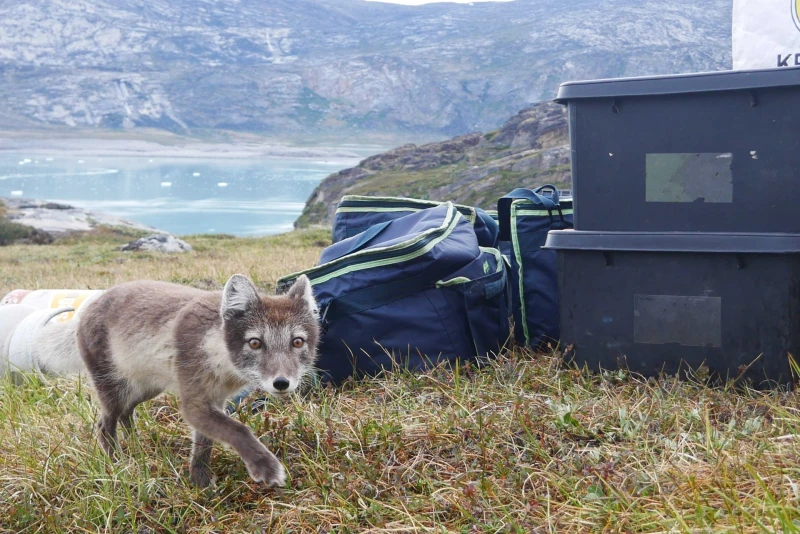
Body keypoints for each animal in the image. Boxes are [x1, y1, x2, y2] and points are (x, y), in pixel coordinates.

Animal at [75, 276, 318, 490]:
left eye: (297, 342)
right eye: (255, 343)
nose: (282, 383)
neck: (219, 353)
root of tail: (90, 305)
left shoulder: (216, 399)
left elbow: (203, 445)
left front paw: (199, 483)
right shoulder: (194, 403)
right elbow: (238, 429)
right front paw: (265, 467)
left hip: (146, 388)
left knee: (127, 413)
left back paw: (136, 445)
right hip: (113, 388)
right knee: (104, 424)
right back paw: (117, 463)